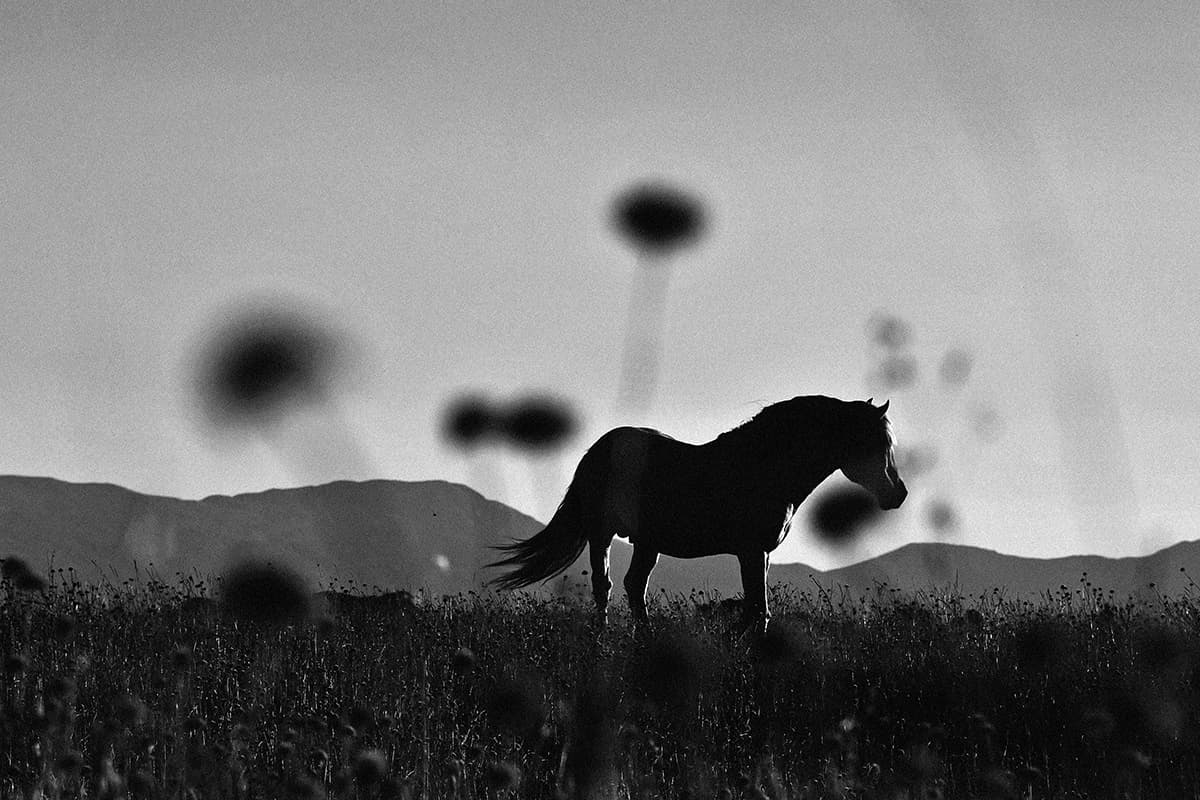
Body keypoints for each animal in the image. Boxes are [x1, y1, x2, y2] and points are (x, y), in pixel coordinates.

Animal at [487, 395, 907, 632]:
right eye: (875, 442)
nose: (898, 494)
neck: (765, 467)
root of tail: (599, 448)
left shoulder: (762, 553)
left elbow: (758, 610)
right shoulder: (751, 551)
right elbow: (757, 610)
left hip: (646, 542)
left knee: (631, 587)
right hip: (602, 535)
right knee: (605, 587)